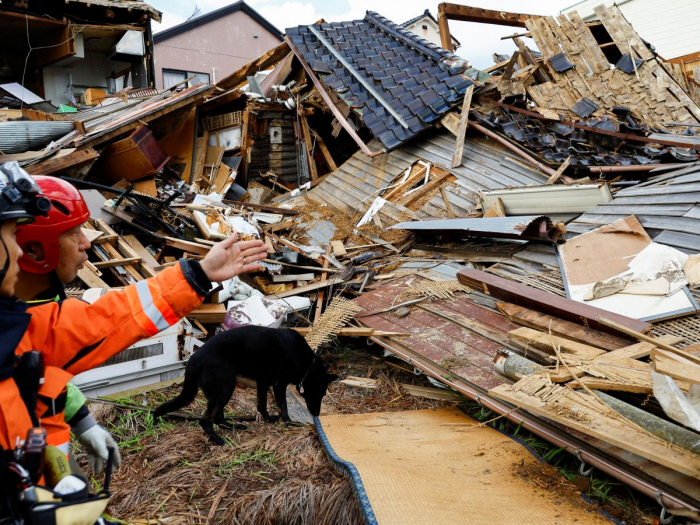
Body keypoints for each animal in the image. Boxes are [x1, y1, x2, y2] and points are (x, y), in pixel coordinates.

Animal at [152, 326, 336, 444]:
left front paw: (268, 419)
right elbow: (283, 406)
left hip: (222, 389)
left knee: (218, 417)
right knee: (206, 420)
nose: (317, 414)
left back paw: (232, 426)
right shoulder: (279, 385)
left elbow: (262, 404)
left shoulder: (263, 382)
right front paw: (289, 422)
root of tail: (193, 360)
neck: (307, 364)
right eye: (319, 393)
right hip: (226, 387)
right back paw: (217, 439)